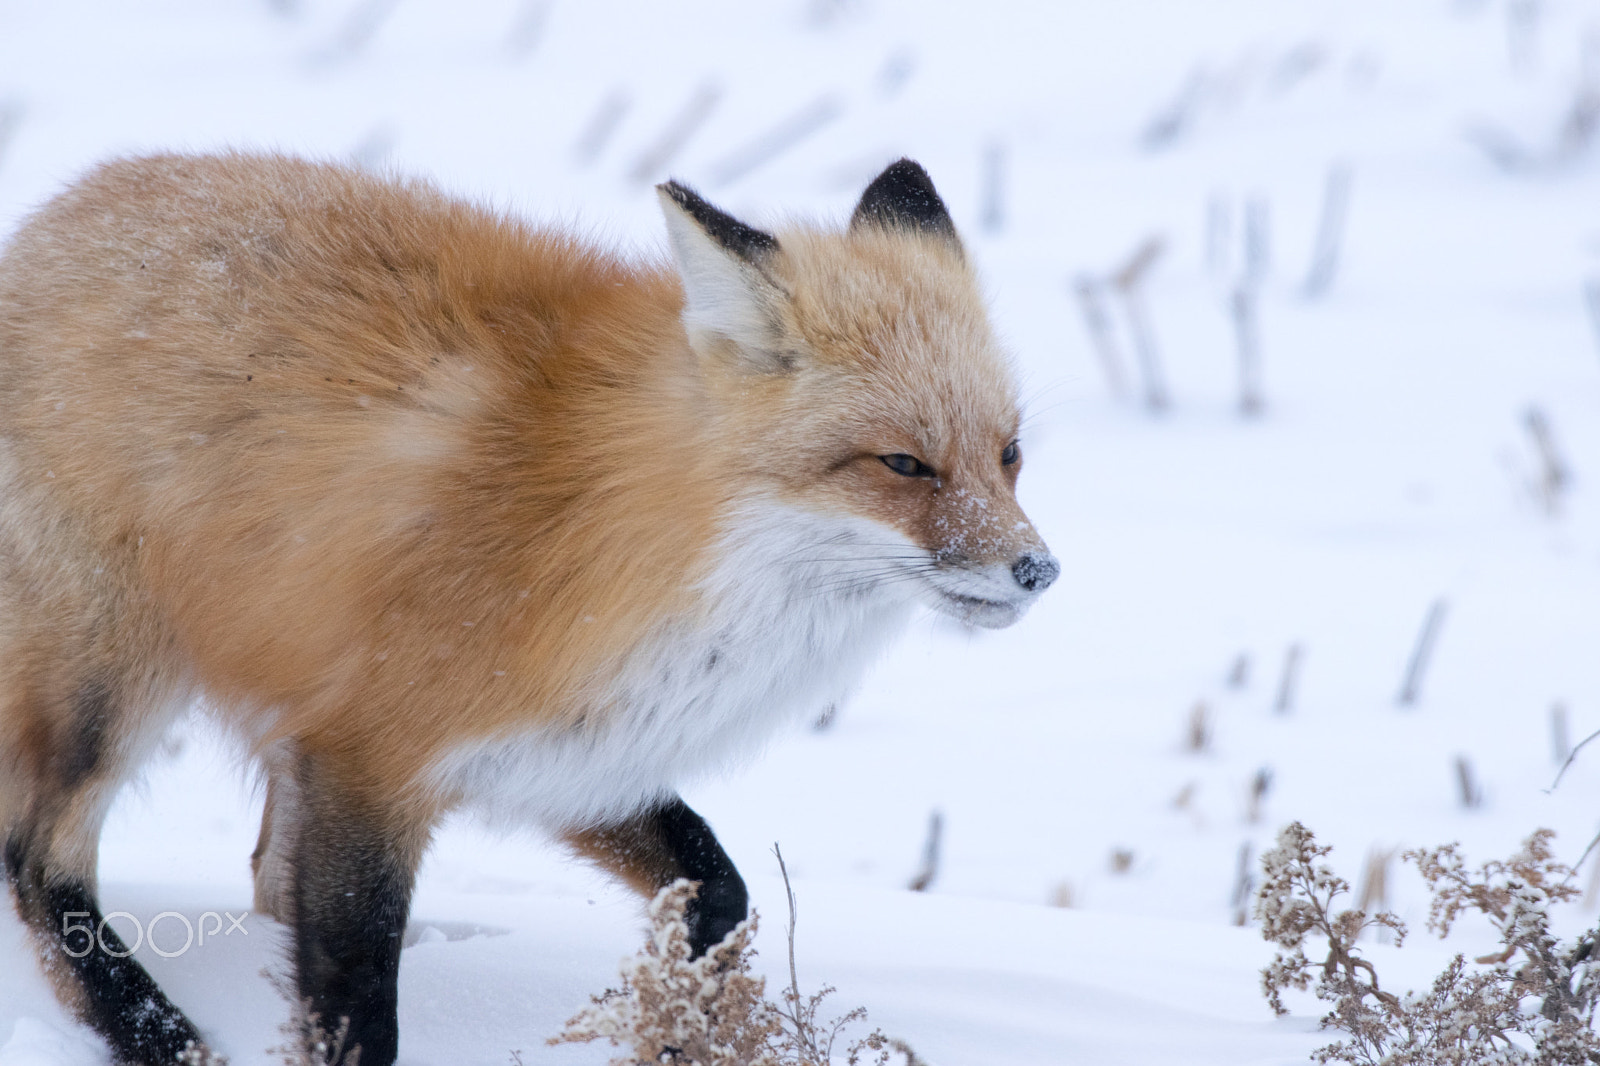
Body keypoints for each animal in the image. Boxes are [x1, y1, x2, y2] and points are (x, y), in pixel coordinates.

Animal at [0, 151, 1055, 1064]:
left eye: (1008, 454)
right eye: (904, 464)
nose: (1038, 570)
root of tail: (51, 220)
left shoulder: (572, 748)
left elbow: (716, 884)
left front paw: (678, 1028)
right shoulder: (368, 761)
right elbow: (357, 1010)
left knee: (251, 879)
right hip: (112, 687)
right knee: (39, 866)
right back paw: (157, 1036)